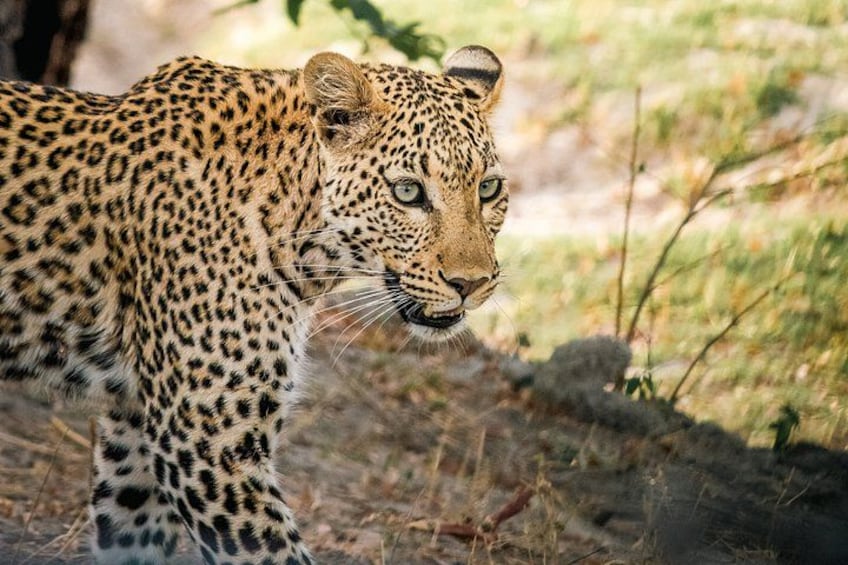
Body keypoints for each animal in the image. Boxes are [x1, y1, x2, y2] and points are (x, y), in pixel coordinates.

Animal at [0, 44, 508, 564]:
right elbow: (272, 551)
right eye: (407, 192)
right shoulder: (204, 439)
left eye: (488, 189)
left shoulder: (136, 427)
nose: (471, 283)